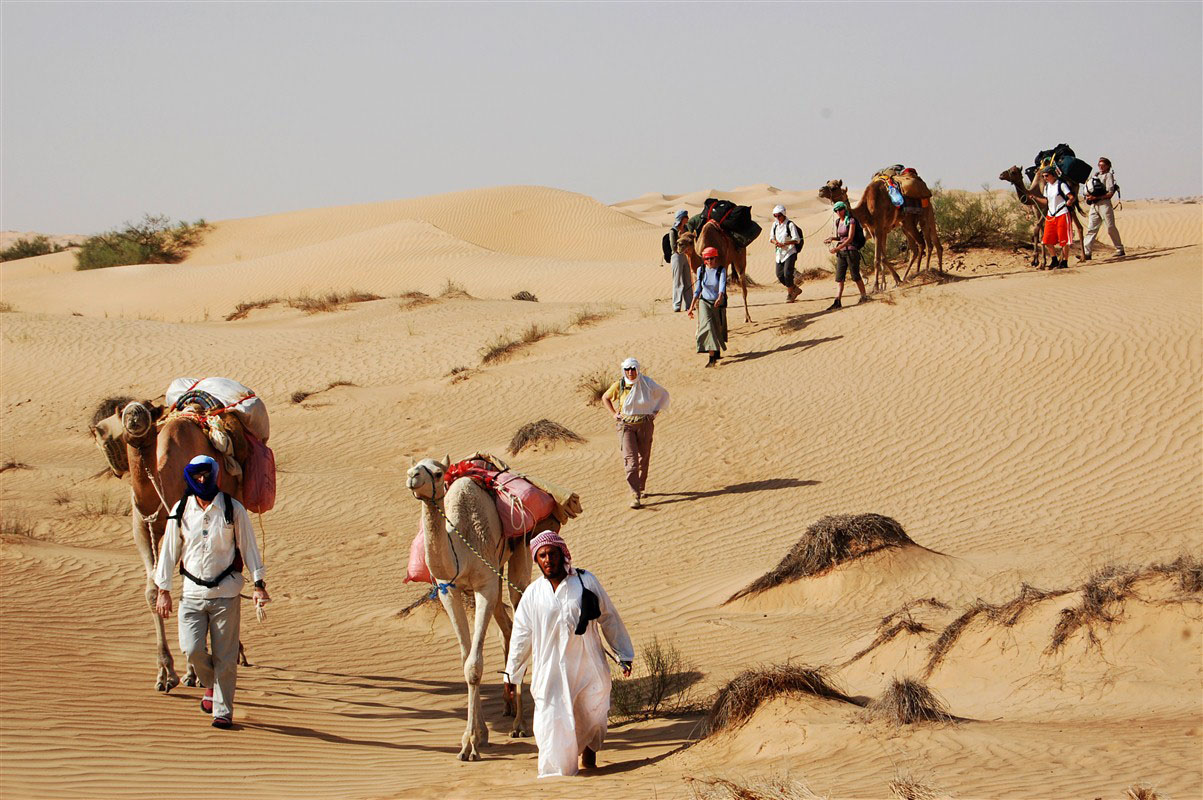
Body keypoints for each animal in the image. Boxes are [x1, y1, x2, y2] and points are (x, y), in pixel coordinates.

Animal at [406, 454, 529, 760]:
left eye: (438, 473)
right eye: (411, 467)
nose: (413, 476)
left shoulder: (484, 586)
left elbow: (474, 665)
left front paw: (470, 744)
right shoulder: (449, 590)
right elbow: (465, 659)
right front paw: (481, 734)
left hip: (519, 556)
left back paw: (520, 724)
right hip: (496, 572)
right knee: (507, 626)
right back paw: (508, 705)